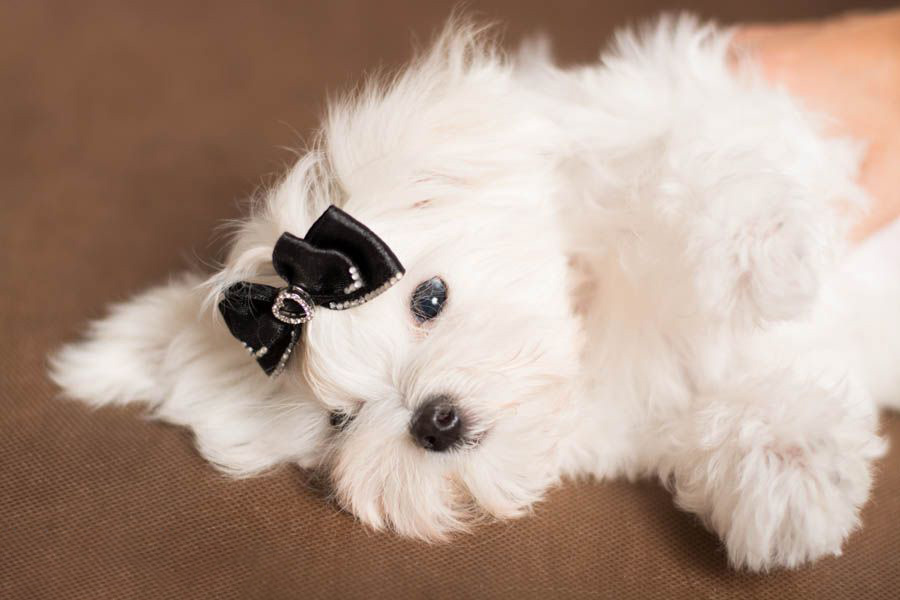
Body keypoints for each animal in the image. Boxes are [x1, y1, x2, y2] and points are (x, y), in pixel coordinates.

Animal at [50, 16, 899, 571]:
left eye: (431, 298)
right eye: (338, 420)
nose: (436, 419)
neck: (597, 318)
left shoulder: (681, 102)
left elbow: (696, 151)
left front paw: (769, 253)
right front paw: (788, 478)